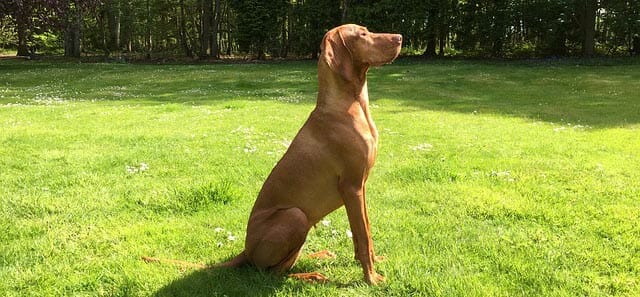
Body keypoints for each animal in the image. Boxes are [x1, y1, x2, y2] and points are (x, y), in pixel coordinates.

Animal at [218, 24, 402, 284]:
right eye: (362, 35)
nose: (400, 38)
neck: (351, 106)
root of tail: (246, 250)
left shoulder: (361, 187)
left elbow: (364, 231)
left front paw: (373, 264)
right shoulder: (351, 186)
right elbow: (363, 237)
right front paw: (371, 278)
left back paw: (320, 255)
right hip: (296, 216)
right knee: (272, 273)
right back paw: (314, 275)